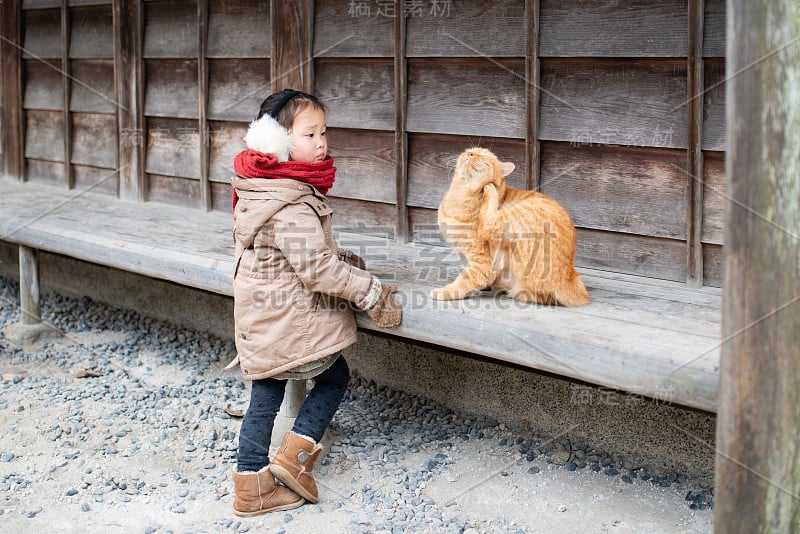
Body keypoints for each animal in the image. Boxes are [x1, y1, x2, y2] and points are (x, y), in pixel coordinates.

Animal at [432, 147, 588, 308]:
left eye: (483, 155)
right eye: (469, 150)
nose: (470, 153)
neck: (460, 195)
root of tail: (568, 278)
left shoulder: (483, 264)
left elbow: (466, 281)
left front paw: (444, 292)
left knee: (489, 223)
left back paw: (490, 190)